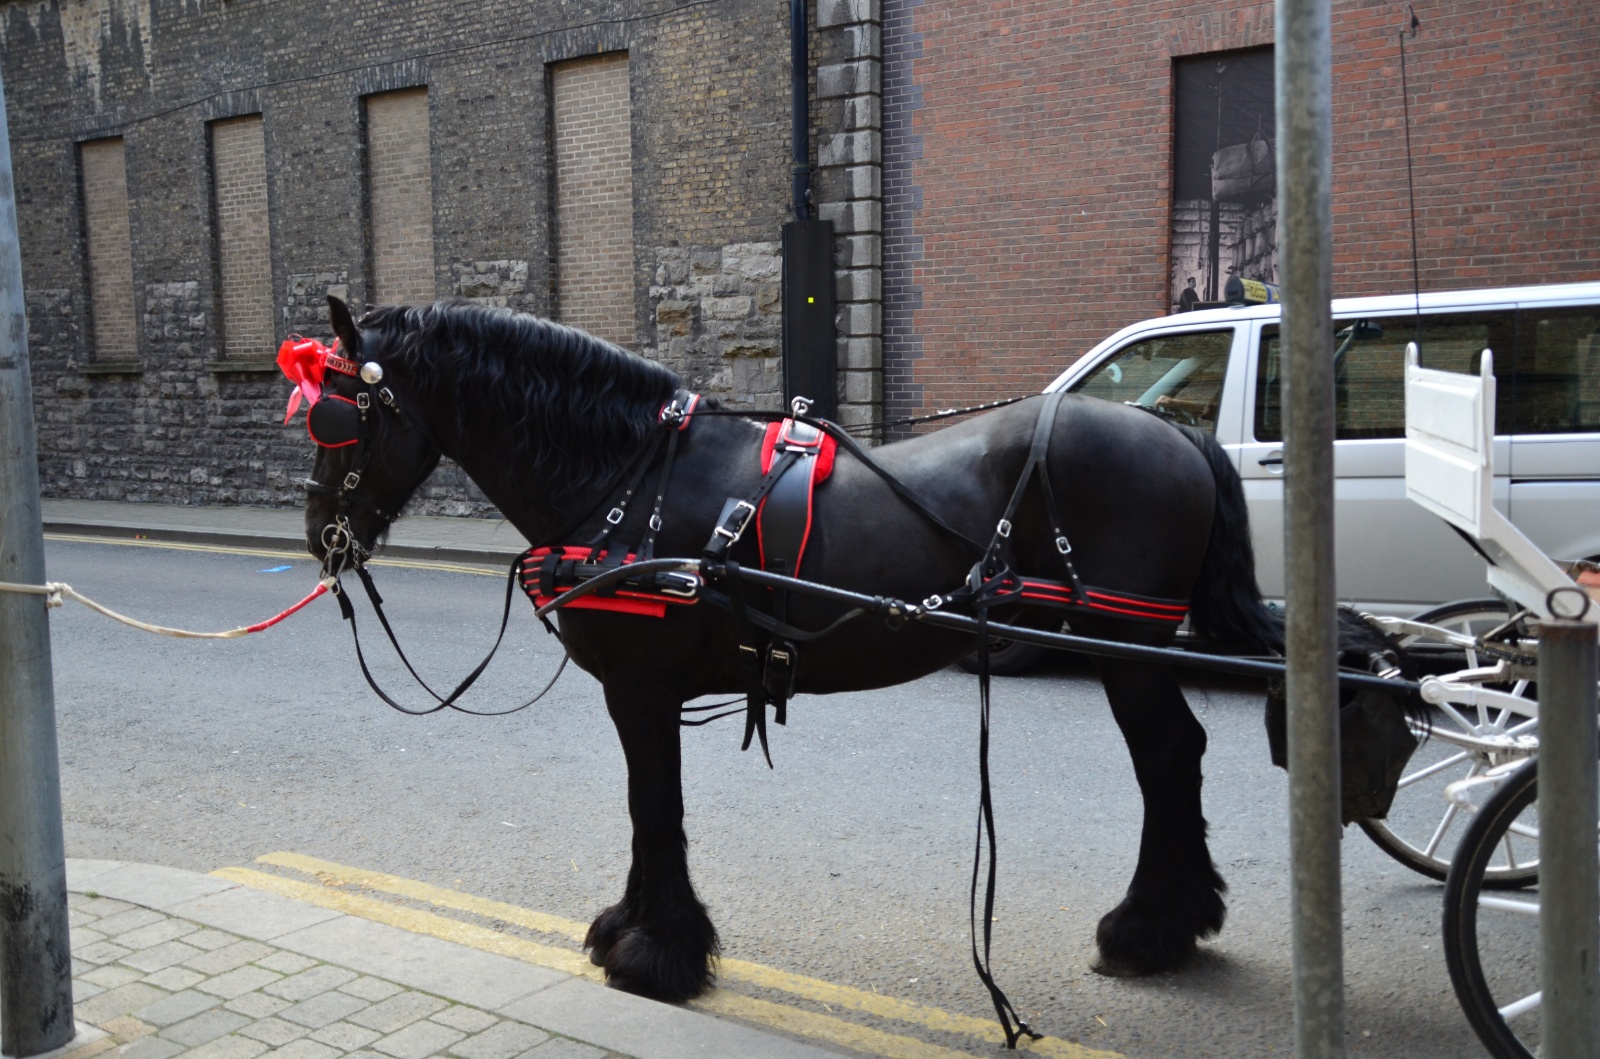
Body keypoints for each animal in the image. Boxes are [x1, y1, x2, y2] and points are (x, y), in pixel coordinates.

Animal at [293, 295, 1318, 1003]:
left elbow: (654, 806)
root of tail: (1174, 431)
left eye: (338, 415)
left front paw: (658, 951)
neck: (630, 476)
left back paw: (1149, 928)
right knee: (1175, 757)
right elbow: (644, 810)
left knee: (1168, 757)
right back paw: (1179, 918)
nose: (318, 534)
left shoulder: (640, 686)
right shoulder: (639, 691)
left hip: (1125, 638)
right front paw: (631, 926)